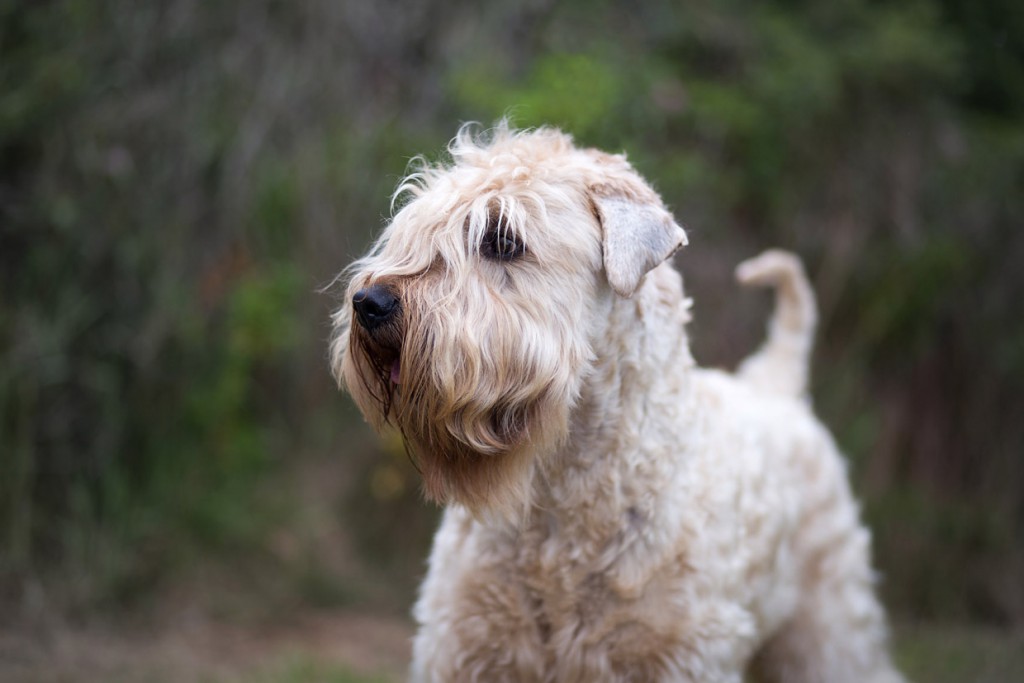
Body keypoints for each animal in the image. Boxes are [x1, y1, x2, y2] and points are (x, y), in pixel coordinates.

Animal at [329, 124, 905, 683]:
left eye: (502, 240)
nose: (371, 302)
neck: (563, 494)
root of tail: (777, 386)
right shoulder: (469, 651)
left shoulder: (677, 657)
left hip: (829, 619)